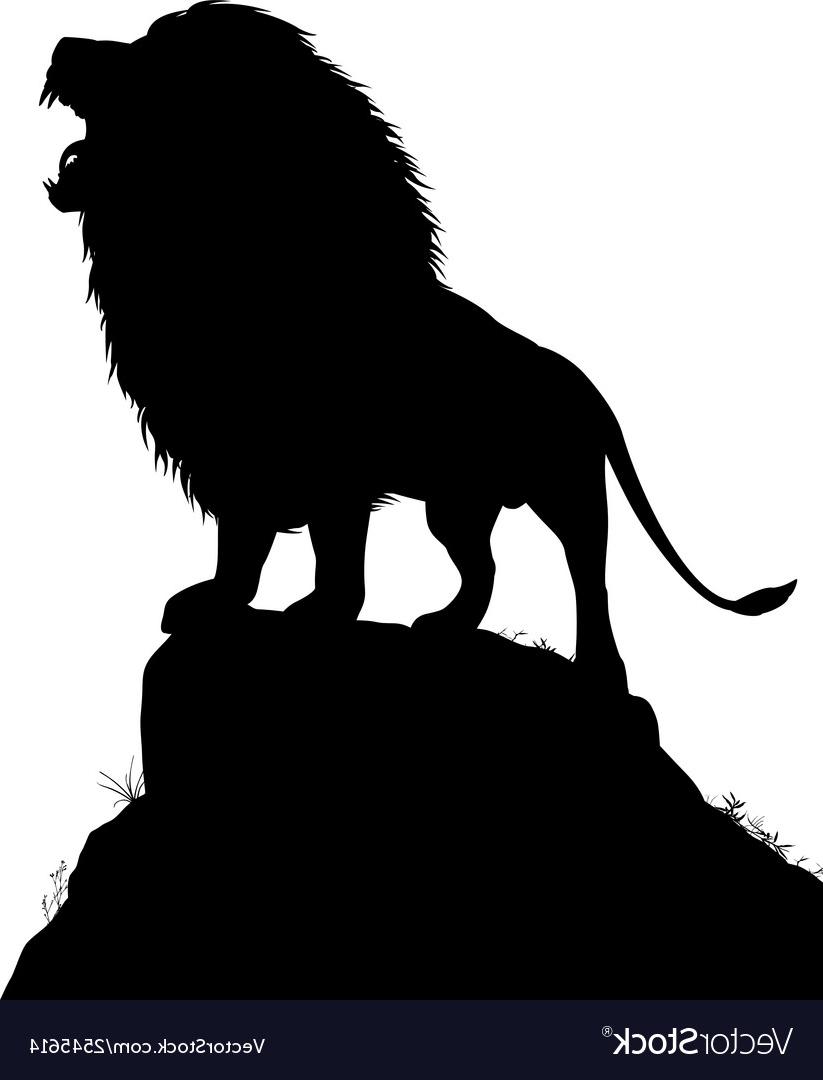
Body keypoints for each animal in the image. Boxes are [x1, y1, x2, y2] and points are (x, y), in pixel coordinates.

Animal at [41, 1, 794, 692]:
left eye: (157, 52)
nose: (60, 47)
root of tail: (586, 388)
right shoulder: (234, 451)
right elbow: (243, 546)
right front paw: (220, 603)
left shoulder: (331, 464)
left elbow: (334, 552)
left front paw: (317, 614)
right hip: (458, 504)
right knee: (482, 568)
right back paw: (444, 626)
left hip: (566, 489)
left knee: (589, 575)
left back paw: (601, 673)